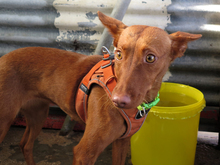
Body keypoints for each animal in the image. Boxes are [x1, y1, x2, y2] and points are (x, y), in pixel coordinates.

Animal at [0, 10, 201, 164]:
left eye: (150, 58)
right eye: (118, 54)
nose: (118, 101)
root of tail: (3, 58)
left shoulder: (122, 142)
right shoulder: (84, 153)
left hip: (38, 114)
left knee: (25, 145)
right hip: (5, 120)